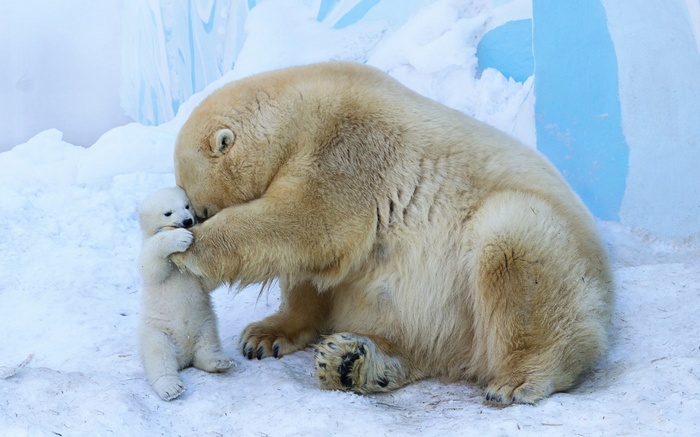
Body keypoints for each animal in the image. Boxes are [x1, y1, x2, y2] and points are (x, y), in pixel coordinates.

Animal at [137, 186, 235, 401]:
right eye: (168, 212)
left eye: (187, 205)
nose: (188, 221)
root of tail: (184, 357)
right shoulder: (148, 251)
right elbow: (152, 266)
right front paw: (181, 238)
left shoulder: (194, 276)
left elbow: (205, 283)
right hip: (157, 333)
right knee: (160, 358)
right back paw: (170, 387)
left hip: (204, 324)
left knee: (207, 345)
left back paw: (219, 361)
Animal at [171, 62, 614, 405]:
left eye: (199, 207)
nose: (191, 218)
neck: (299, 112)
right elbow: (314, 270)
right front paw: (264, 336)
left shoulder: (350, 148)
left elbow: (306, 223)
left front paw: (187, 250)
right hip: (441, 321)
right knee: (416, 341)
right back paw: (351, 363)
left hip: (546, 251)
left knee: (514, 246)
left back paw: (519, 379)